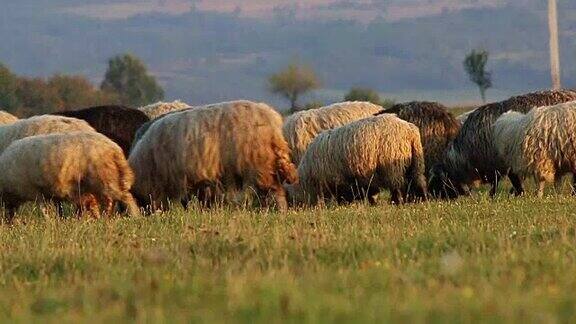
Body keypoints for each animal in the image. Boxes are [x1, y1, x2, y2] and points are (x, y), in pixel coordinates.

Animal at [0, 130, 138, 221]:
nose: (7, 223)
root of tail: (115, 149)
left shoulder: (35, 191)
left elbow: (43, 209)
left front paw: (48, 221)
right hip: (99, 182)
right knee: (109, 201)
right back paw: (103, 218)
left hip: (104, 179)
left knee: (123, 198)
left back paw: (134, 216)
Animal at [288, 114, 428, 205]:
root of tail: (410, 130)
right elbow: (368, 191)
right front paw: (372, 203)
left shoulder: (339, 178)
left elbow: (345, 195)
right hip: (416, 163)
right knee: (419, 182)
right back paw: (422, 200)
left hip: (393, 166)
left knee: (397, 186)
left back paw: (397, 202)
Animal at [430, 90, 576, 199]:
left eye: (439, 179)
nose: (432, 196)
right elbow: (498, 183)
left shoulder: (504, 163)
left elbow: (508, 183)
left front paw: (513, 194)